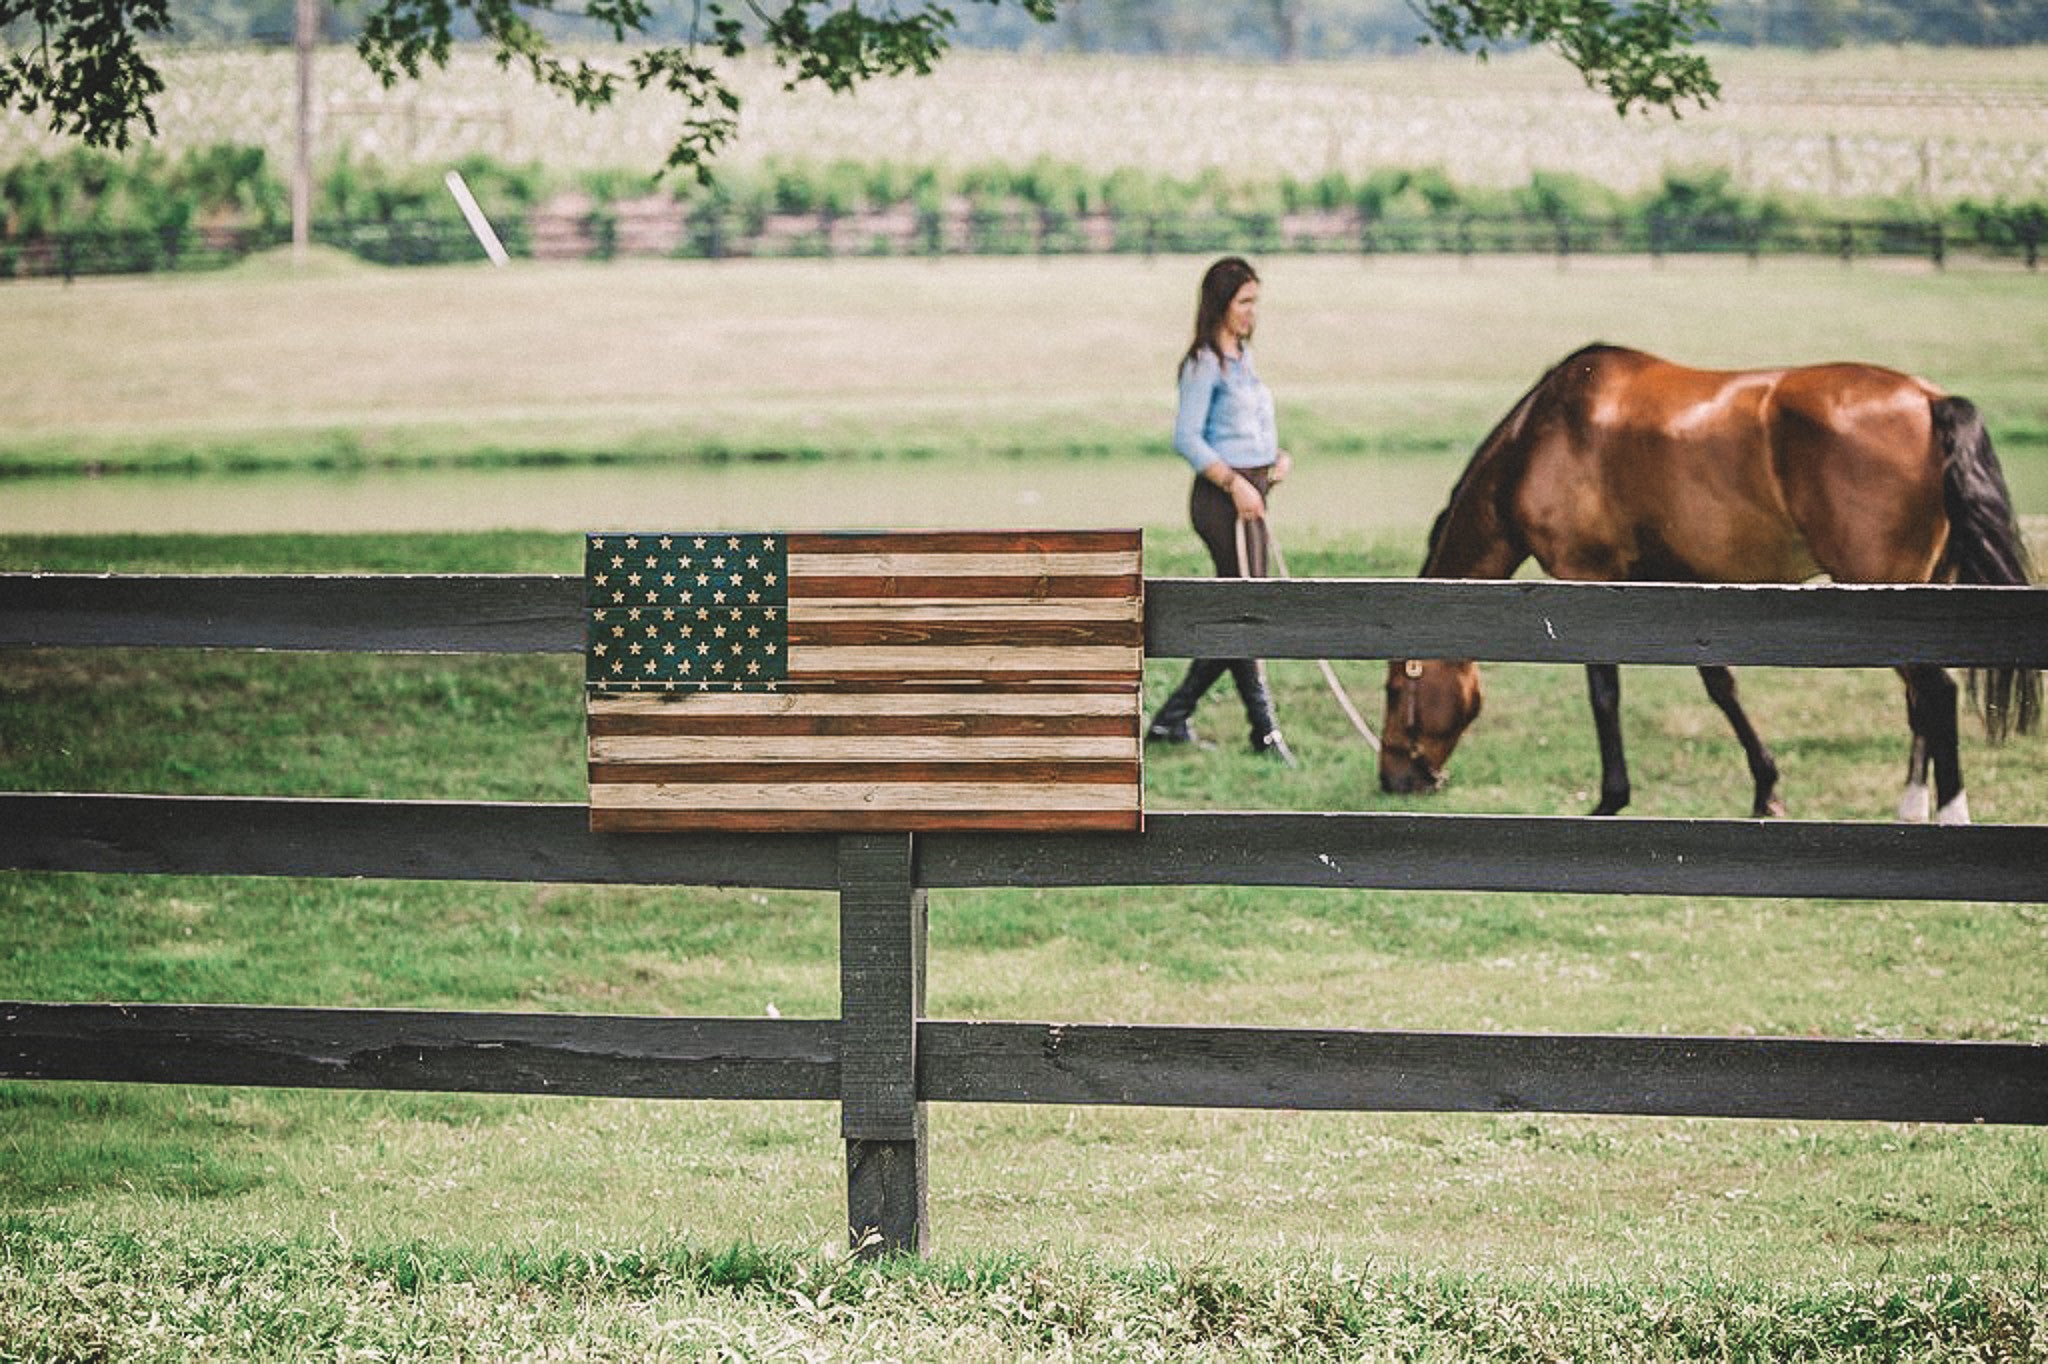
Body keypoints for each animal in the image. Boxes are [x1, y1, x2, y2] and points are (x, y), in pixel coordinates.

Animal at [1384, 346, 2039, 823]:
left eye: (1394, 690)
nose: (1393, 779)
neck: (1544, 436)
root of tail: (1930, 401)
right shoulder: (1680, 581)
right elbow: (1720, 684)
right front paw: (1766, 790)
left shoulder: (1585, 575)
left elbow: (1604, 693)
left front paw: (1611, 798)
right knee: (1920, 700)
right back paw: (1910, 805)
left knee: (1936, 693)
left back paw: (1951, 816)